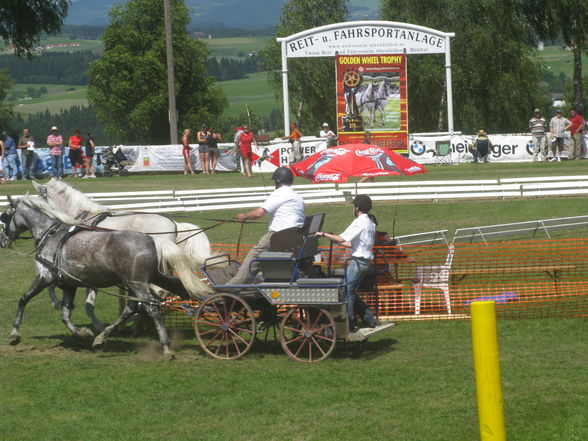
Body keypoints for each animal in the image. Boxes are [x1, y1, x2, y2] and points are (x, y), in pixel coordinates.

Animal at [0, 195, 210, 358]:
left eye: (4, 216)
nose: (3, 241)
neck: (50, 234)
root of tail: (151, 239)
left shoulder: (45, 277)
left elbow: (23, 299)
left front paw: (14, 333)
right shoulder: (69, 284)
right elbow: (66, 315)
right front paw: (82, 333)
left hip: (138, 283)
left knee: (151, 306)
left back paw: (165, 347)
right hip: (144, 281)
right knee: (134, 307)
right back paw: (103, 337)